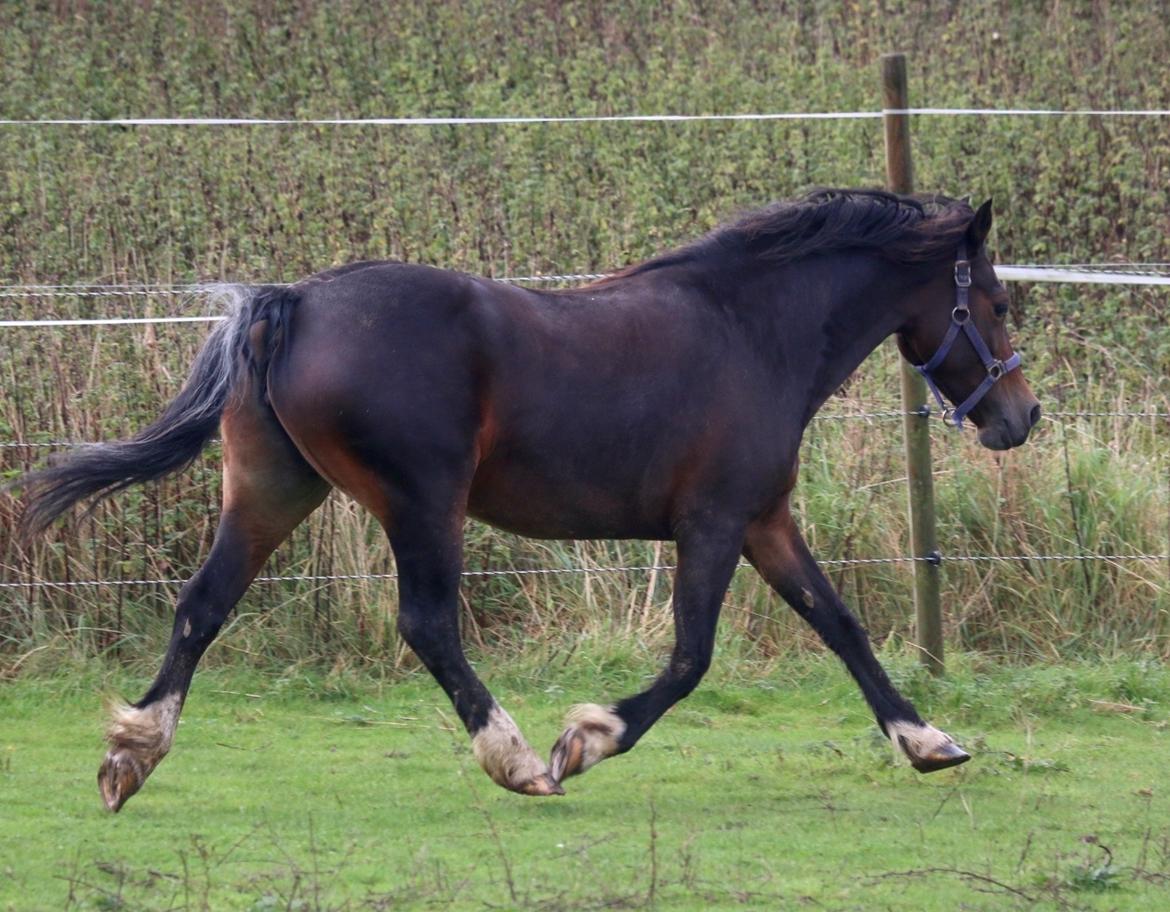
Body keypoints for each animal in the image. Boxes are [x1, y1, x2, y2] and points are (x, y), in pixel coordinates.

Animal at [13, 188, 1043, 810]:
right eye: (995, 304)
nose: (1021, 417)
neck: (754, 332)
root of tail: (293, 302)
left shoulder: (764, 522)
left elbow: (841, 625)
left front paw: (930, 741)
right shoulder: (711, 524)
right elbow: (691, 658)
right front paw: (583, 739)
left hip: (273, 488)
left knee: (202, 606)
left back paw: (131, 754)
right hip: (421, 502)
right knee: (427, 624)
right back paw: (514, 761)